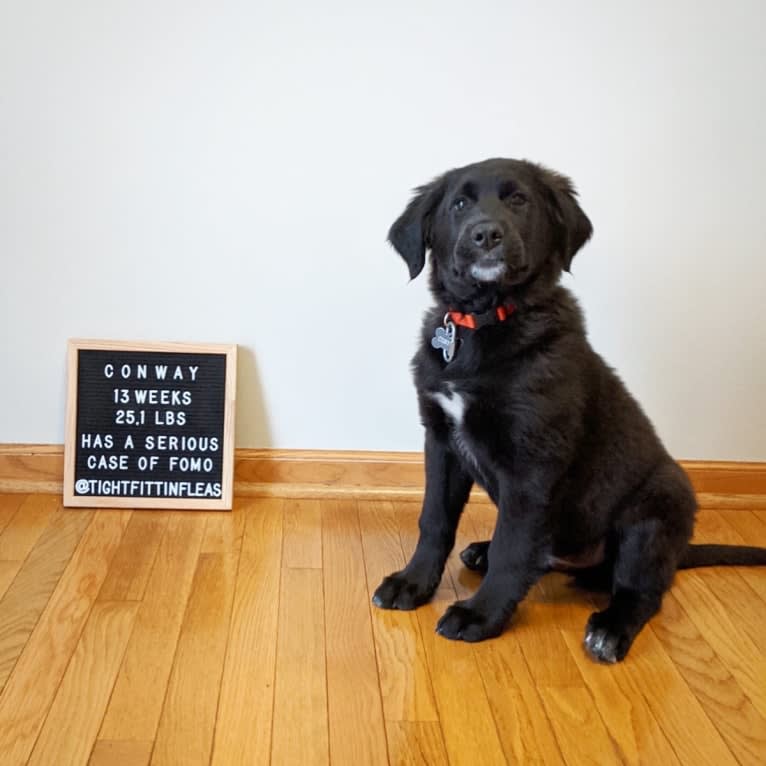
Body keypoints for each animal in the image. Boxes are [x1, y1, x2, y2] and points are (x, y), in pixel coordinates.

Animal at [374, 158, 766, 664]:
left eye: (518, 200)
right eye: (459, 204)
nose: (486, 234)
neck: (486, 321)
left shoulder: (532, 462)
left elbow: (514, 547)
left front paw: (481, 615)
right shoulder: (441, 439)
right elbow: (434, 521)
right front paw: (413, 583)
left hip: (657, 505)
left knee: (640, 590)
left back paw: (610, 630)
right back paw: (481, 551)